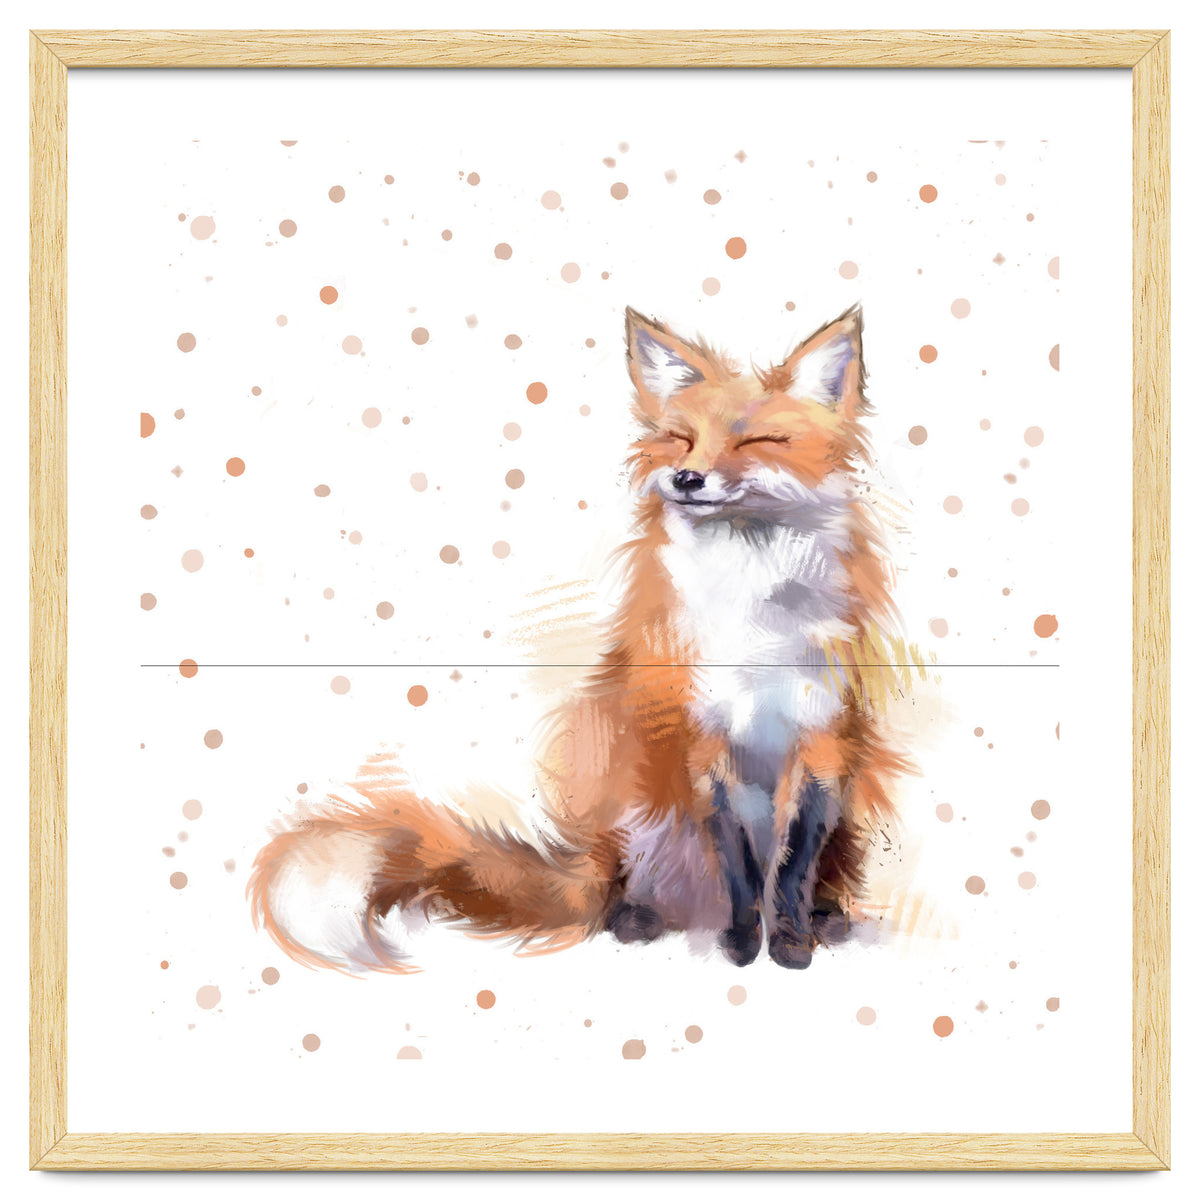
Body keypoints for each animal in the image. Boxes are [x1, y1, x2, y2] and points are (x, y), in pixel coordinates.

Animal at [249, 303, 913, 973]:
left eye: (756, 442)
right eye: (680, 438)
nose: (686, 477)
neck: (752, 619)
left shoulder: (824, 740)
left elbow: (793, 865)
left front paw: (792, 943)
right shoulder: (702, 741)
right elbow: (741, 867)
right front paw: (743, 945)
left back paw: (826, 919)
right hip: (626, 788)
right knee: (622, 886)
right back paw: (639, 917)